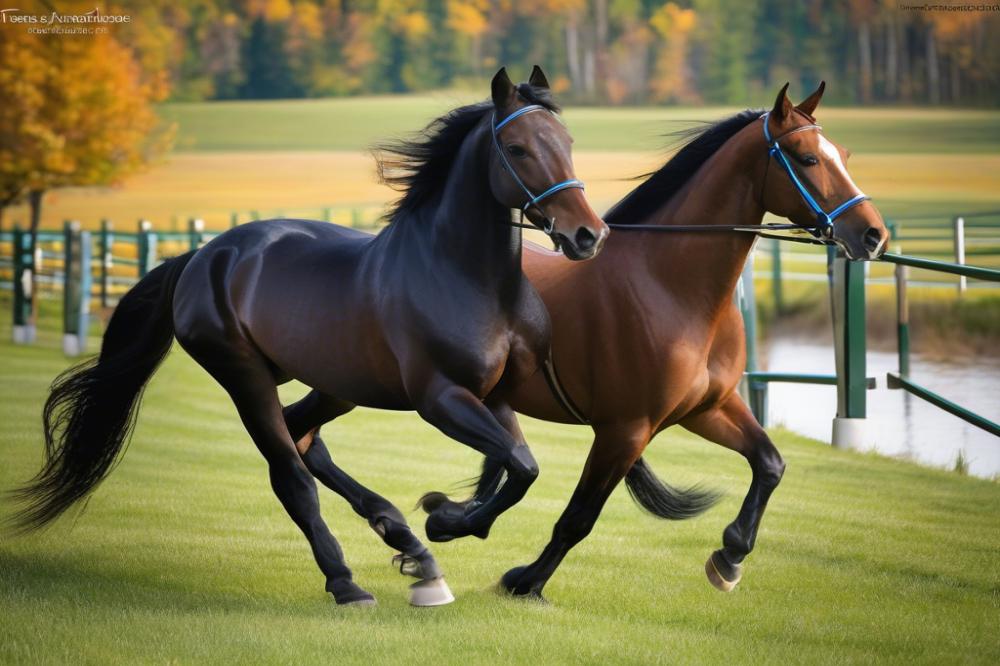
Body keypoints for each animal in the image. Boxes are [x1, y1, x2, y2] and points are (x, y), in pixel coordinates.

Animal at [11, 68, 608, 608]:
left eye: (568, 143)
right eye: (517, 148)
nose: (587, 235)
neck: (470, 278)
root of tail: (201, 256)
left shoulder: (496, 396)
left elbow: (520, 465)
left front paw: (445, 519)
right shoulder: (441, 399)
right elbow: (517, 466)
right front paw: (444, 518)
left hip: (336, 385)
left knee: (304, 436)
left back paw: (409, 548)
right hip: (245, 376)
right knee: (291, 473)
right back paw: (350, 582)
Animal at [424, 81, 892, 596]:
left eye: (843, 154)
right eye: (807, 158)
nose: (873, 234)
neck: (670, 288)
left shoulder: (708, 409)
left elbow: (770, 463)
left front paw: (729, 558)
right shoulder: (625, 430)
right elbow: (578, 518)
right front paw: (525, 581)